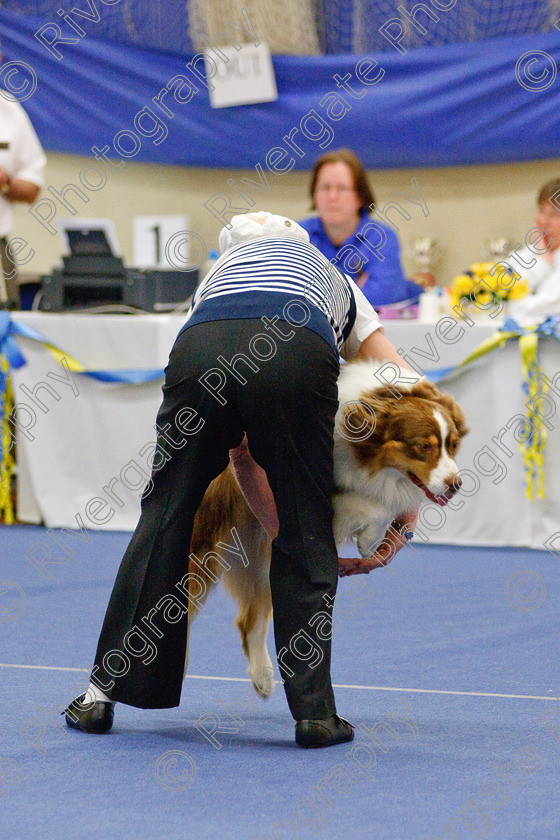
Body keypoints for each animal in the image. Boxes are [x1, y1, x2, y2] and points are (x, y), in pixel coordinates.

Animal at [187, 360, 468, 696]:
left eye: (452, 446)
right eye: (423, 447)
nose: (456, 484)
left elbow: (384, 501)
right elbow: (371, 506)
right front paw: (368, 541)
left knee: (250, 617)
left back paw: (263, 676)